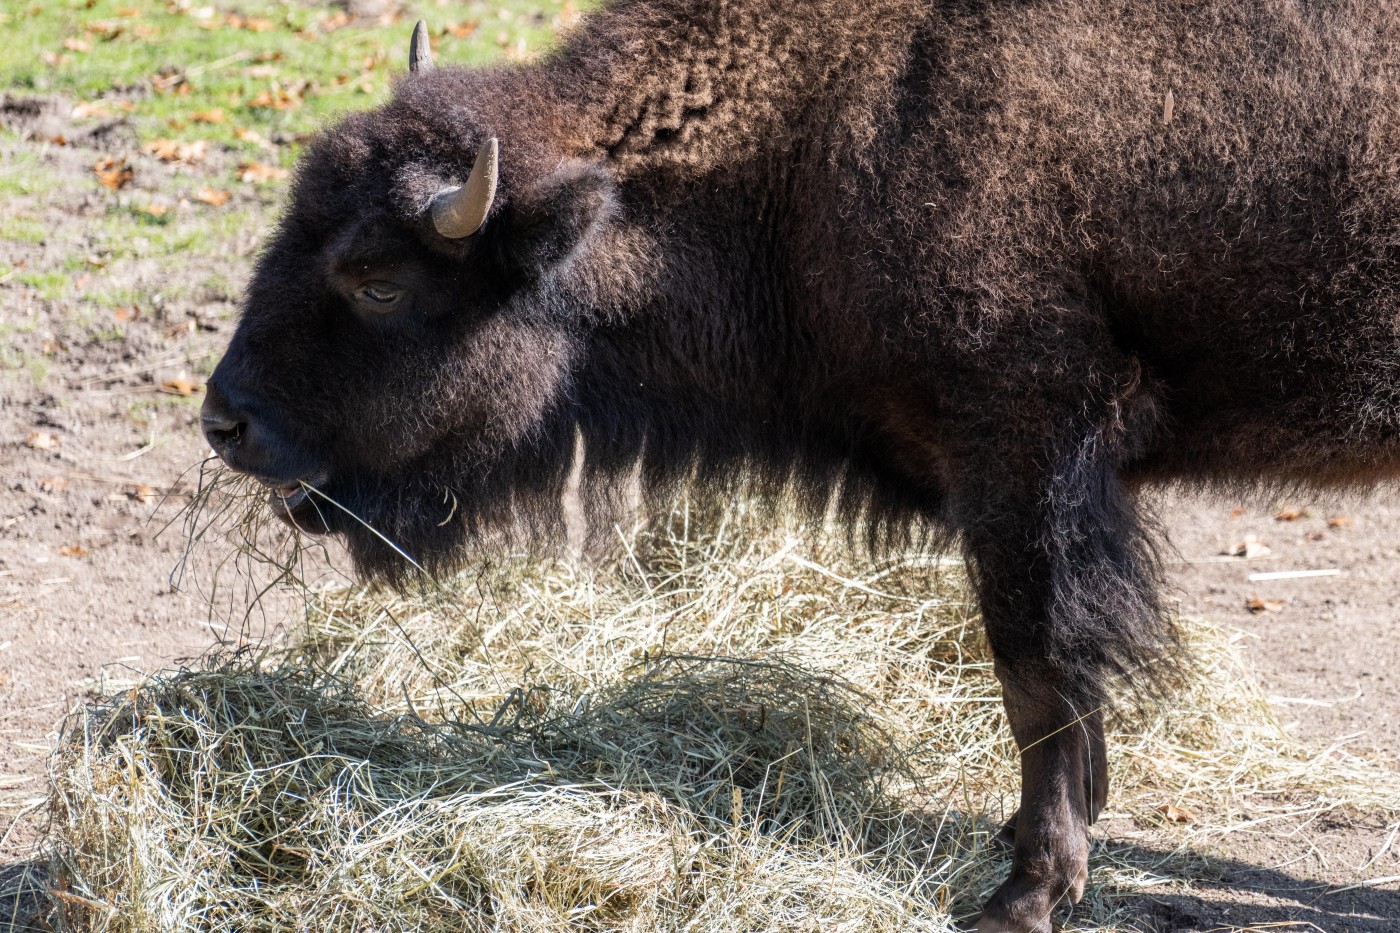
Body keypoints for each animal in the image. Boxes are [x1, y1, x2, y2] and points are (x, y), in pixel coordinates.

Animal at [203, 3, 1400, 924]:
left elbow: (1037, 673)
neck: (822, 127)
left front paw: (1024, 896)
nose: (225, 423)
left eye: (378, 279)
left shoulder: (1025, 458)